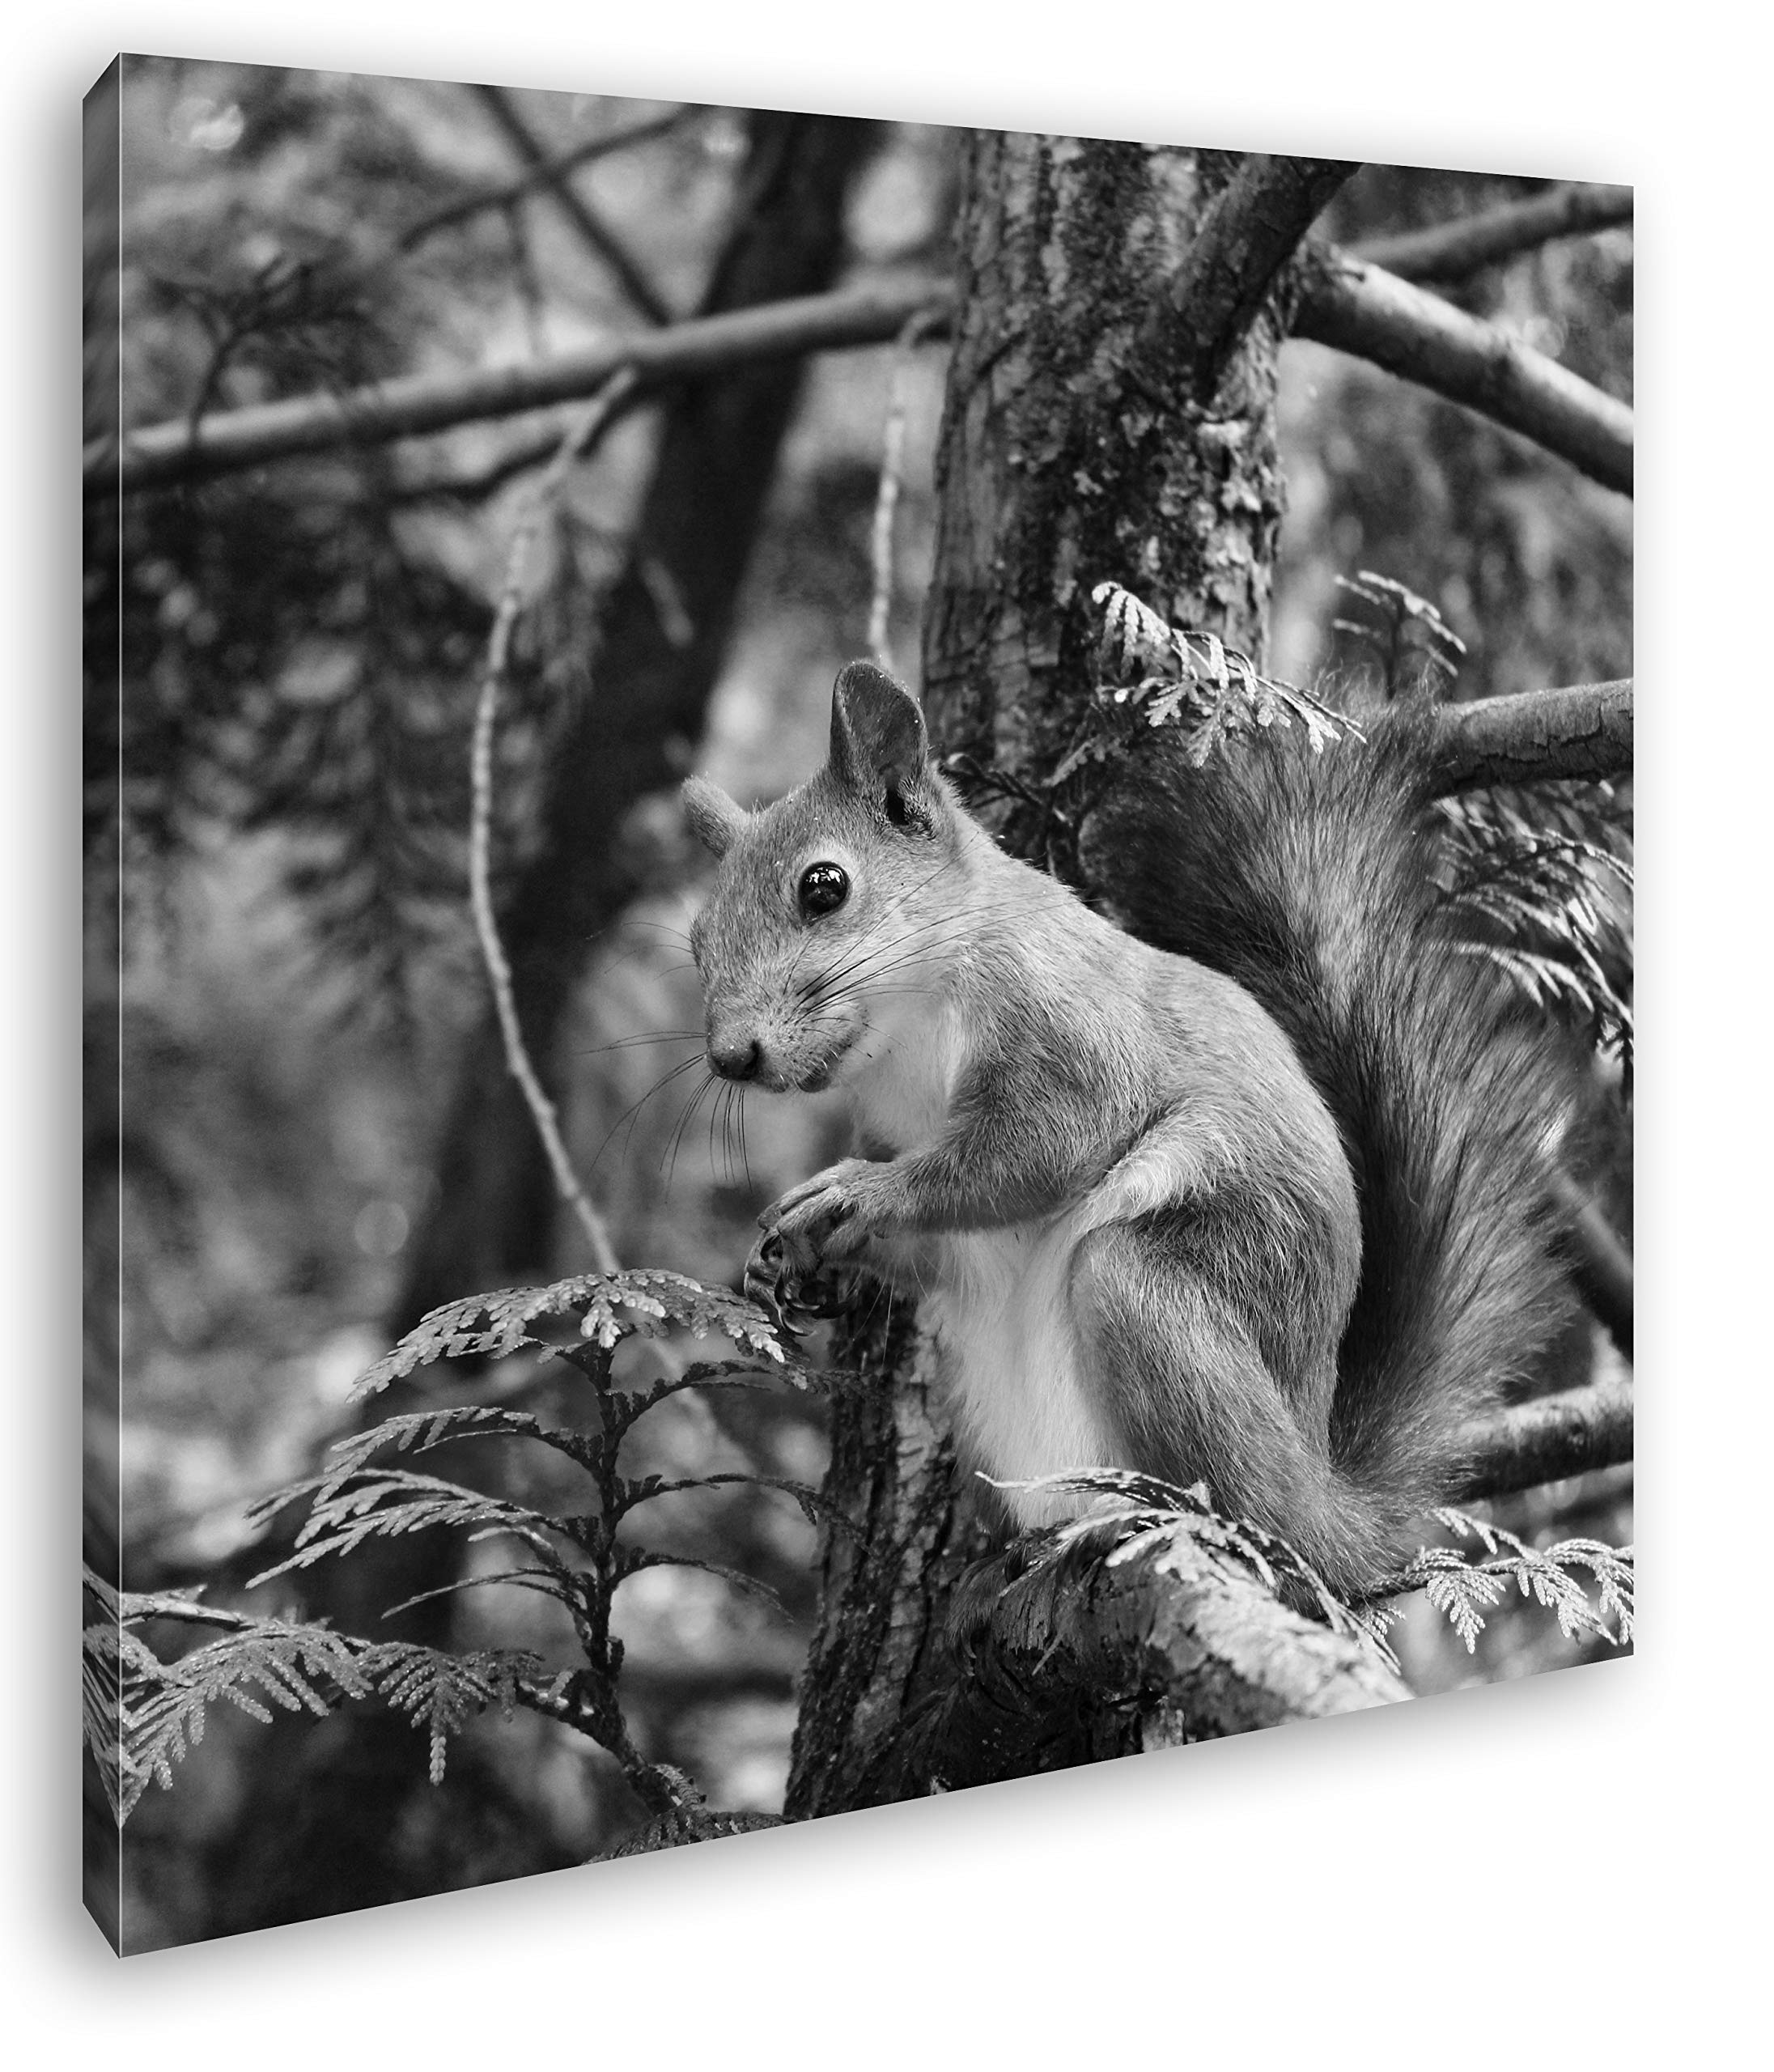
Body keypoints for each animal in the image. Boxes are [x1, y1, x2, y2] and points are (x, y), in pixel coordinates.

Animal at [681, 658, 1586, 1599]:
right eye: (697, 941)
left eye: (822, 886)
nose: (731, 1056)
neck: (907, 1033)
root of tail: (1330, 1502)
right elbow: (938, 1244)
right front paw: (791, 1258)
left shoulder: (1069, 1023)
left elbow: (1036, 1150)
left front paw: (857, 1195)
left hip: (1156, 1293)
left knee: (1247, 1494)